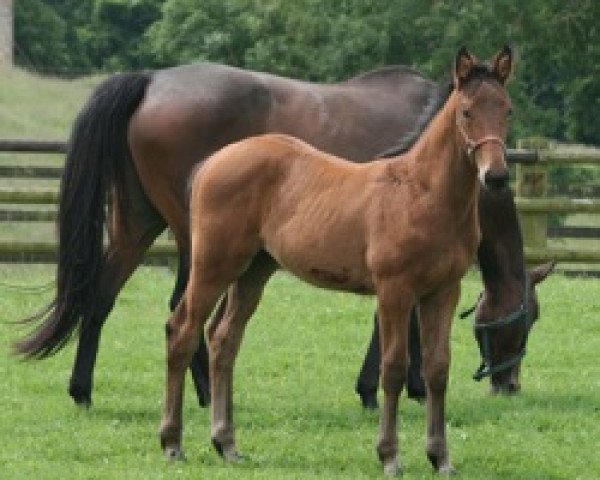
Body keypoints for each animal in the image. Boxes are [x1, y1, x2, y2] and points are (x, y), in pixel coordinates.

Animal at [14, 47, 552, 408]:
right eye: (529, 318)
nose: (510, 384)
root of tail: (150, 80)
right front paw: (398, 389)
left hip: (136, 225)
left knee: (101, 297)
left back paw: (83, 390)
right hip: (197, 239)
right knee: (182, 308)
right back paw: (205, 392)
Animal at [159, 47, 510, 474]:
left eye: (507, 109)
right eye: (466, 112)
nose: (496, 176)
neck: (421, 192)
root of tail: (210, 163)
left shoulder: (444, 290)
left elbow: (437, 369)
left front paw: (440, 457)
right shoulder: (394, 290)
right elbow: (393, 368)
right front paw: (389, 456)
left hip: (254, 271)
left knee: (224, 340)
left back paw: (226, 443)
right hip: (214, 264)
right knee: (182, 330)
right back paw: (172, 443)